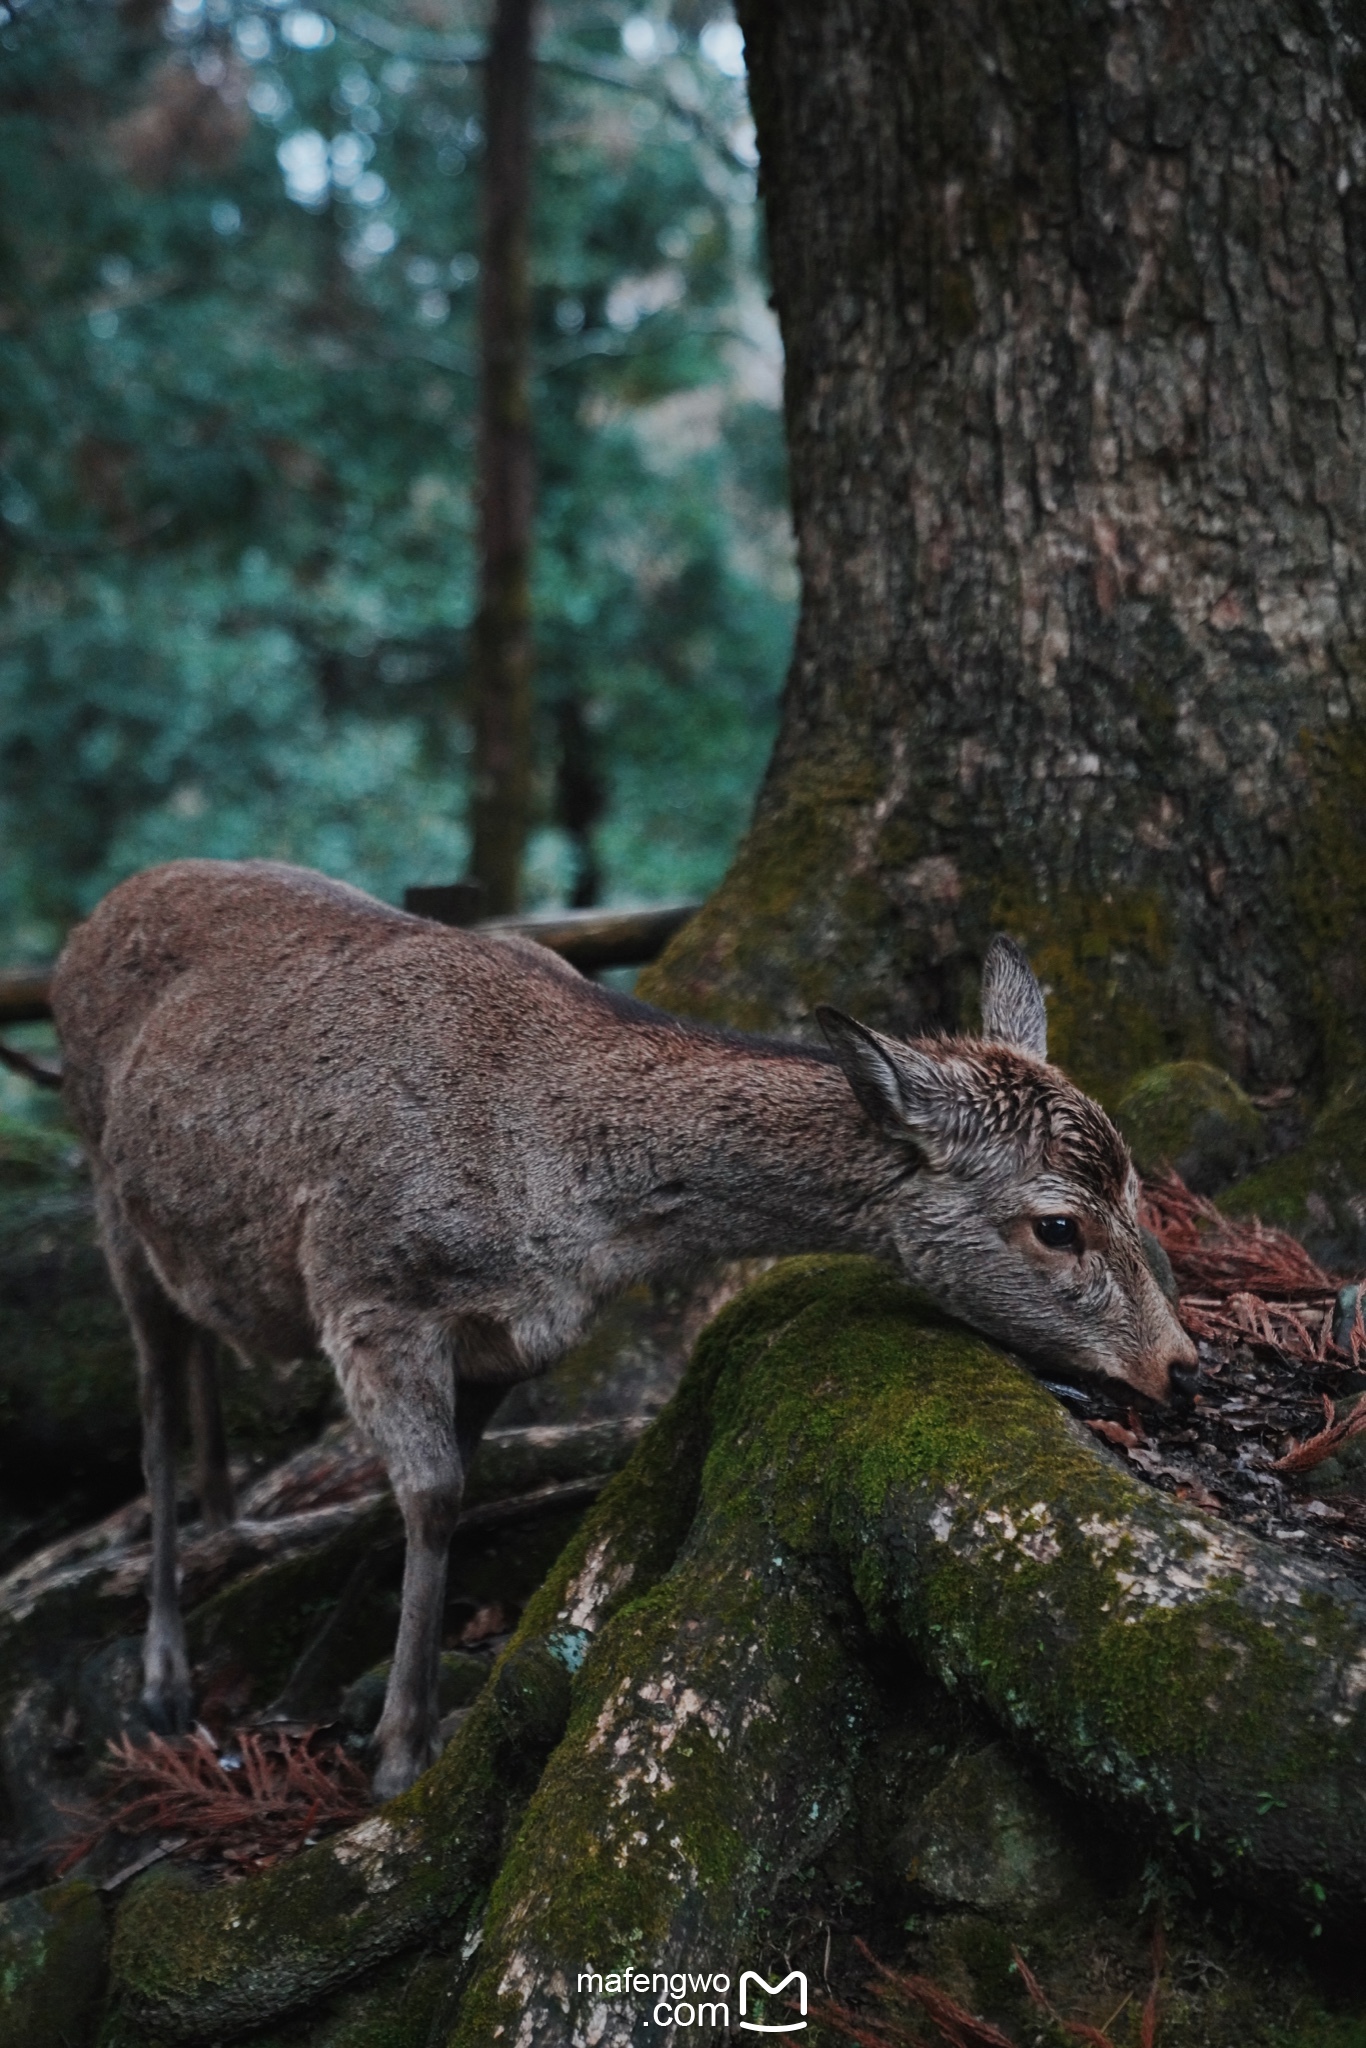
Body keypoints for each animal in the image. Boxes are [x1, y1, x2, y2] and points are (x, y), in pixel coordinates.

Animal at [50, 860, 1196, 1794]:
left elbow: (429, 1496)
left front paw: (323, 1684)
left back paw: (227, 1526)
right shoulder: (366, 1289)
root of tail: (81, 929)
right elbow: (431, 1493)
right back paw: (163, 1675)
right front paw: (401, 1751)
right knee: (151, 1408)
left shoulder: (516, 1337)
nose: (1178, 1363)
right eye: (1057, 1224)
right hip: (106, 1197)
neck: (570, 1202)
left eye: (1139, 1187)